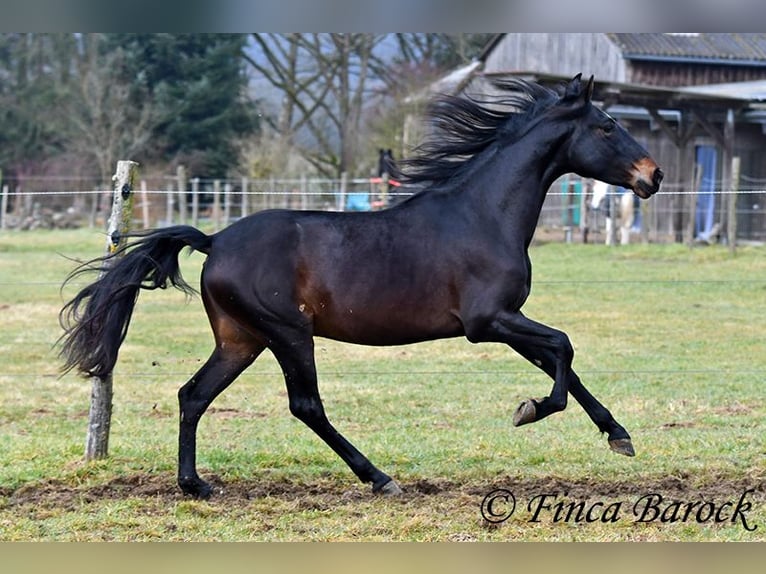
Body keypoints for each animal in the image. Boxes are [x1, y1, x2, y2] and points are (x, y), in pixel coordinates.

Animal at [60, 75, 664, 500]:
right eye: (606, 126)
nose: (653, 175)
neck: (482, 214)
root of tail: (214, 240)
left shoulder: (507, 322)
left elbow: (562, 362)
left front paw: (618, 435)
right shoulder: (487, 321)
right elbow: (564, 348)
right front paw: (530, 410)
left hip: (241, 339)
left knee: (193, 395)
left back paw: (196, 485)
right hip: (287, 334)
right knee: (306, 405)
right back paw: (379, 477)